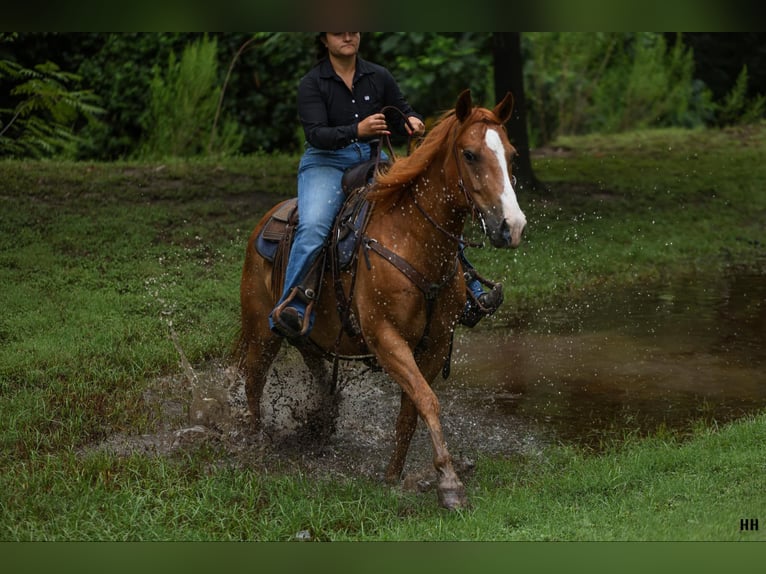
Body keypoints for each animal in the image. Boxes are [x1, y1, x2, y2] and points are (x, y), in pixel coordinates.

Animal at [236, 89, 526, 509]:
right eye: (470, 154)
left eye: (511, 153)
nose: (512, 226)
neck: (413, 239)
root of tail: (267, 219)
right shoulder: (386, 338)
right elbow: (427, 400)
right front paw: (450, 483)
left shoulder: (435, 343)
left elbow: (412, 408)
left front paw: (395, 475)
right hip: (261, 329)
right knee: (254, 382)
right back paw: (257, 444)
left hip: (310, 335)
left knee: (316, 371)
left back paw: (322, 422)